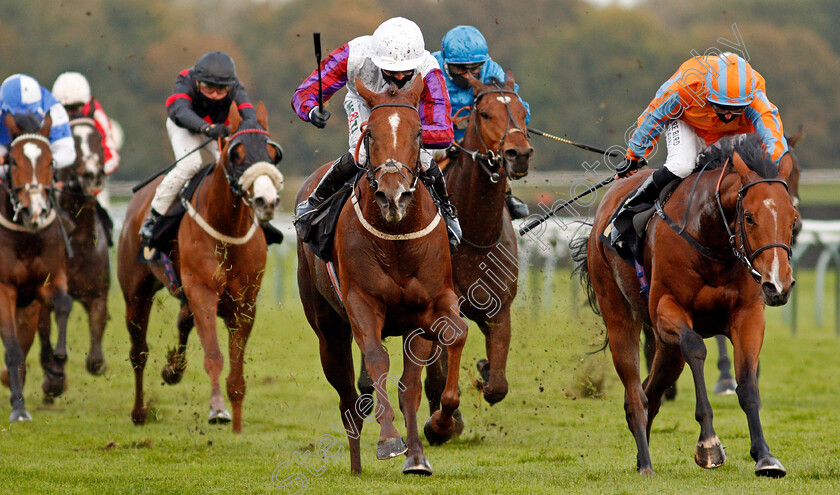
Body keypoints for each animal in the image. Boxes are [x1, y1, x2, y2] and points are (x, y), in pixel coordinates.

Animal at [116, 102, 284, 432]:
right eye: (237, 153)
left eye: (272, 153)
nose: (266, 201)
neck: (227, 231)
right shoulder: (204, 293)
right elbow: (214, 356)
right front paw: (218, 409)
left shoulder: (245, 304)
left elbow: (237, 370)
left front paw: (237, 423)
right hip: (136, 293)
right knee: (138, 351)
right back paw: (139, 411)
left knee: (183, 321)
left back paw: (173, 369)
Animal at [294, 77, 466, 476]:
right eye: (370, 133)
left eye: (419, 133)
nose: (393, 196)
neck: (397, 242)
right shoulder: (362, 302)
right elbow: (376, 361)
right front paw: (389, 439)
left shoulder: (429, 307)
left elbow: (432, 362)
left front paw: (433, 434)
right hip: (327, 328)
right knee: (347, 398)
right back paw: (356, 465)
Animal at [424, 71, 536, 416]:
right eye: (485, 113)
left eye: (523, 111)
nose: (519, 154)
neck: (475, 236)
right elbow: (438, 374)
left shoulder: (500, 309)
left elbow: (497, 385)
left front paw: (485, 368)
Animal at [576, 134, 796, 478]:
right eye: (748, 217)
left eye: (792, 216)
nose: (778, 283)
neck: (710, 238)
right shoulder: (667, 309)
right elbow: (696, 347)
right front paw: (709, 444)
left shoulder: (748, 316)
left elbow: (747, 384)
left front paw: (765, 456)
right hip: (619, 315)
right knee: (635, 393)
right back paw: (646, 464)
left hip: (667, 349)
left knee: (650, 392)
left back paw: (641, 456)